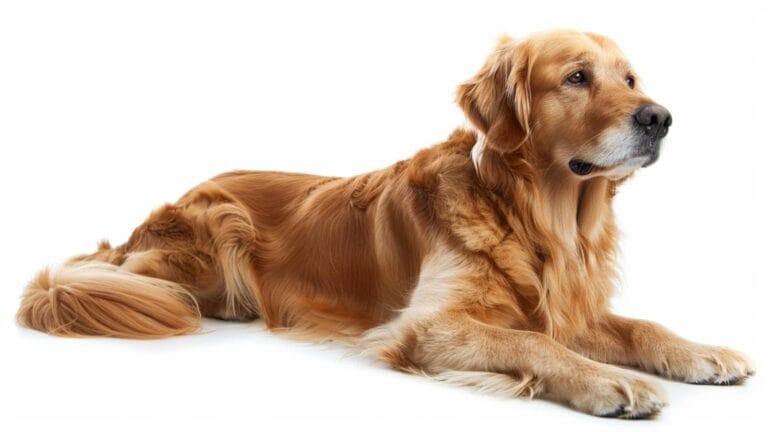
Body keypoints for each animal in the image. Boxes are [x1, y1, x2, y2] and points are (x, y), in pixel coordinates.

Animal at [19, 29, 756, 418]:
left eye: (631, 79)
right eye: (577, 77)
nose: (660, 117)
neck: (537, 221)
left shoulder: (565, 306)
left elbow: (639, 325)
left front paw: (703, 354)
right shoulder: (426, 325)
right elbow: (534, 345)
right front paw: (610, 382)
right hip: (210, 230)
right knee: (128, 280)